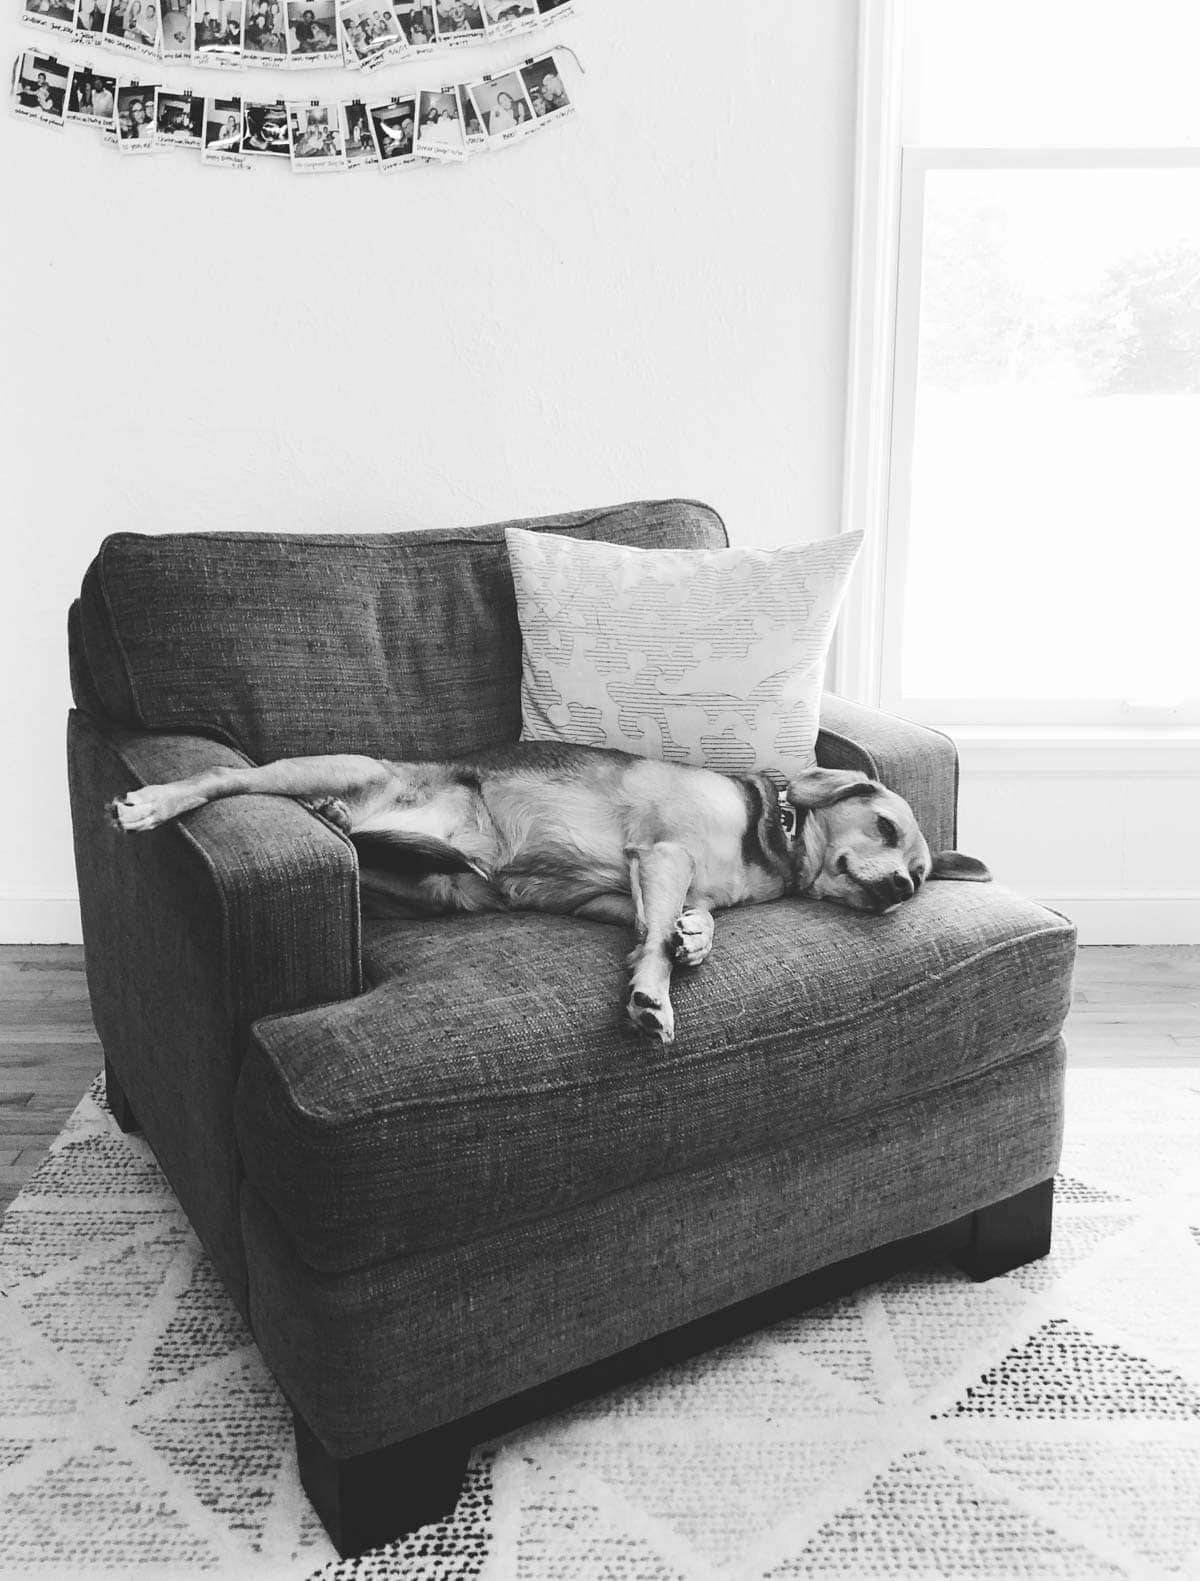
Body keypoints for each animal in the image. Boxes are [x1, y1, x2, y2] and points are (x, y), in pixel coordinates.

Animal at [108, 743, 992, 1043]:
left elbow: (675, 925)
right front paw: (652, 992)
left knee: (364, 853)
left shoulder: (626, 894)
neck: (767, 836)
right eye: (883, 825)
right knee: (229, 778)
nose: (901, 887)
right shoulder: (661, 856)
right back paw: (152, 802)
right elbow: (656, 942)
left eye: (919, 880)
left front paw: (695, 937)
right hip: (329, 767)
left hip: (440, 889)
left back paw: (339, 826)